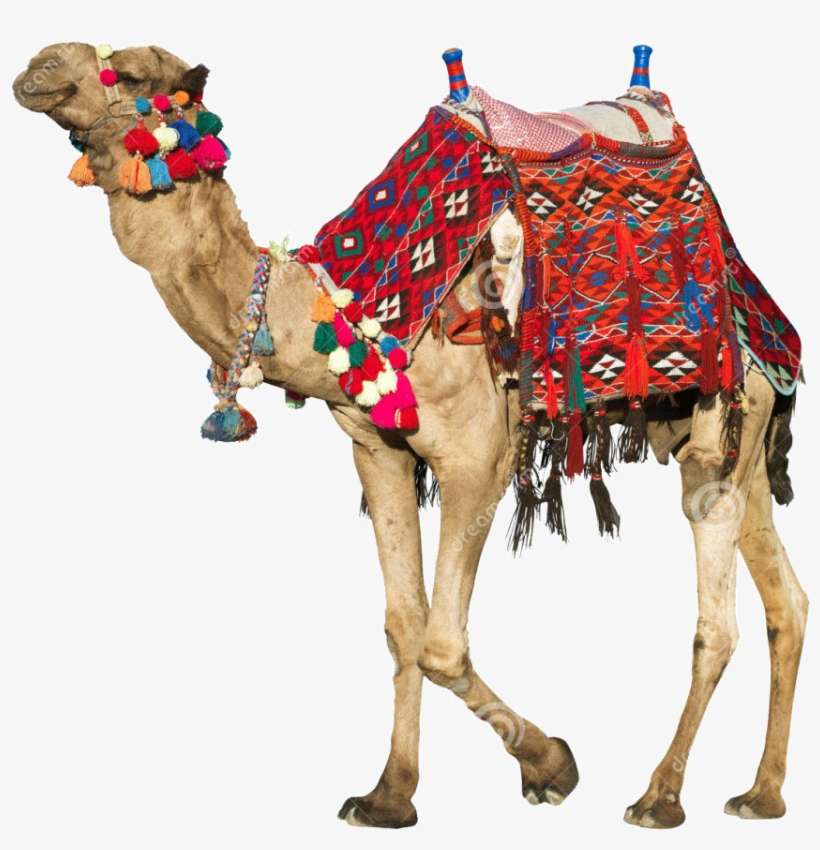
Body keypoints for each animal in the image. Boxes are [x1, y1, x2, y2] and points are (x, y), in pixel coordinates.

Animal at [13, 42, 807, 830]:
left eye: (132, 74)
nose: (38, 66)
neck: (352, 312)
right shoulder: (377, 449)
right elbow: (403, 624)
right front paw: (388, 796)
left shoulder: (478, 457)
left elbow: (442, 644)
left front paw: (552, 764)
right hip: (727, 439)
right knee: (787, 600)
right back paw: (761, 795)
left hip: (724, 413)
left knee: (717, 609)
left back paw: (660, 797)